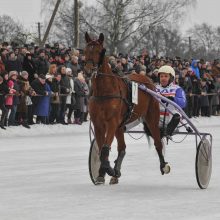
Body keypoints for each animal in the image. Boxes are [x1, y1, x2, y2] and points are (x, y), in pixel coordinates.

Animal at [84, 31, 170, 185]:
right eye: (85, 50)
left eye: (99, 51)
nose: (88, 71)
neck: (104, 91)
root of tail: (148, 79)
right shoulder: (98, 124)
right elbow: (100, 150)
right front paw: (102, 173)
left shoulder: (112, 122)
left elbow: (105, 149)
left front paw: (109, 170)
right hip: (120, 125)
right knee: (122, 148)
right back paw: (116, 172)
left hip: (151, 117)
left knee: (157, 142)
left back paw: (163, 165)